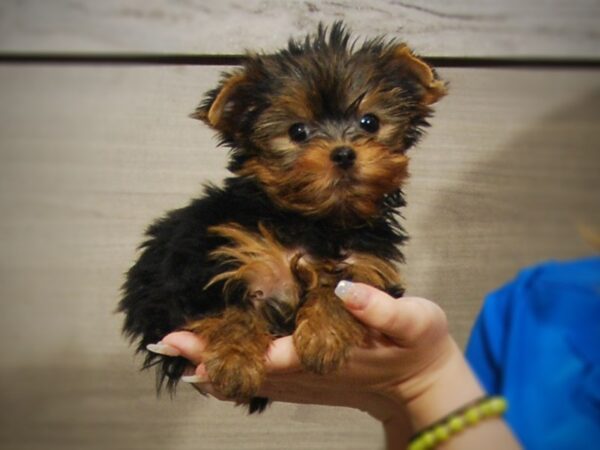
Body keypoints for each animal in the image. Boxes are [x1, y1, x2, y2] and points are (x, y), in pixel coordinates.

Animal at [118, 22, 446, 414]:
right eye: (297, 132)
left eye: (369, 122)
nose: (344, 154)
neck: (315, 222)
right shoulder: (204, 268)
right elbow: (230, 311)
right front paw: (234, 361)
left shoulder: (369, 267)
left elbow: (340, 287)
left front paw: (323, 337)